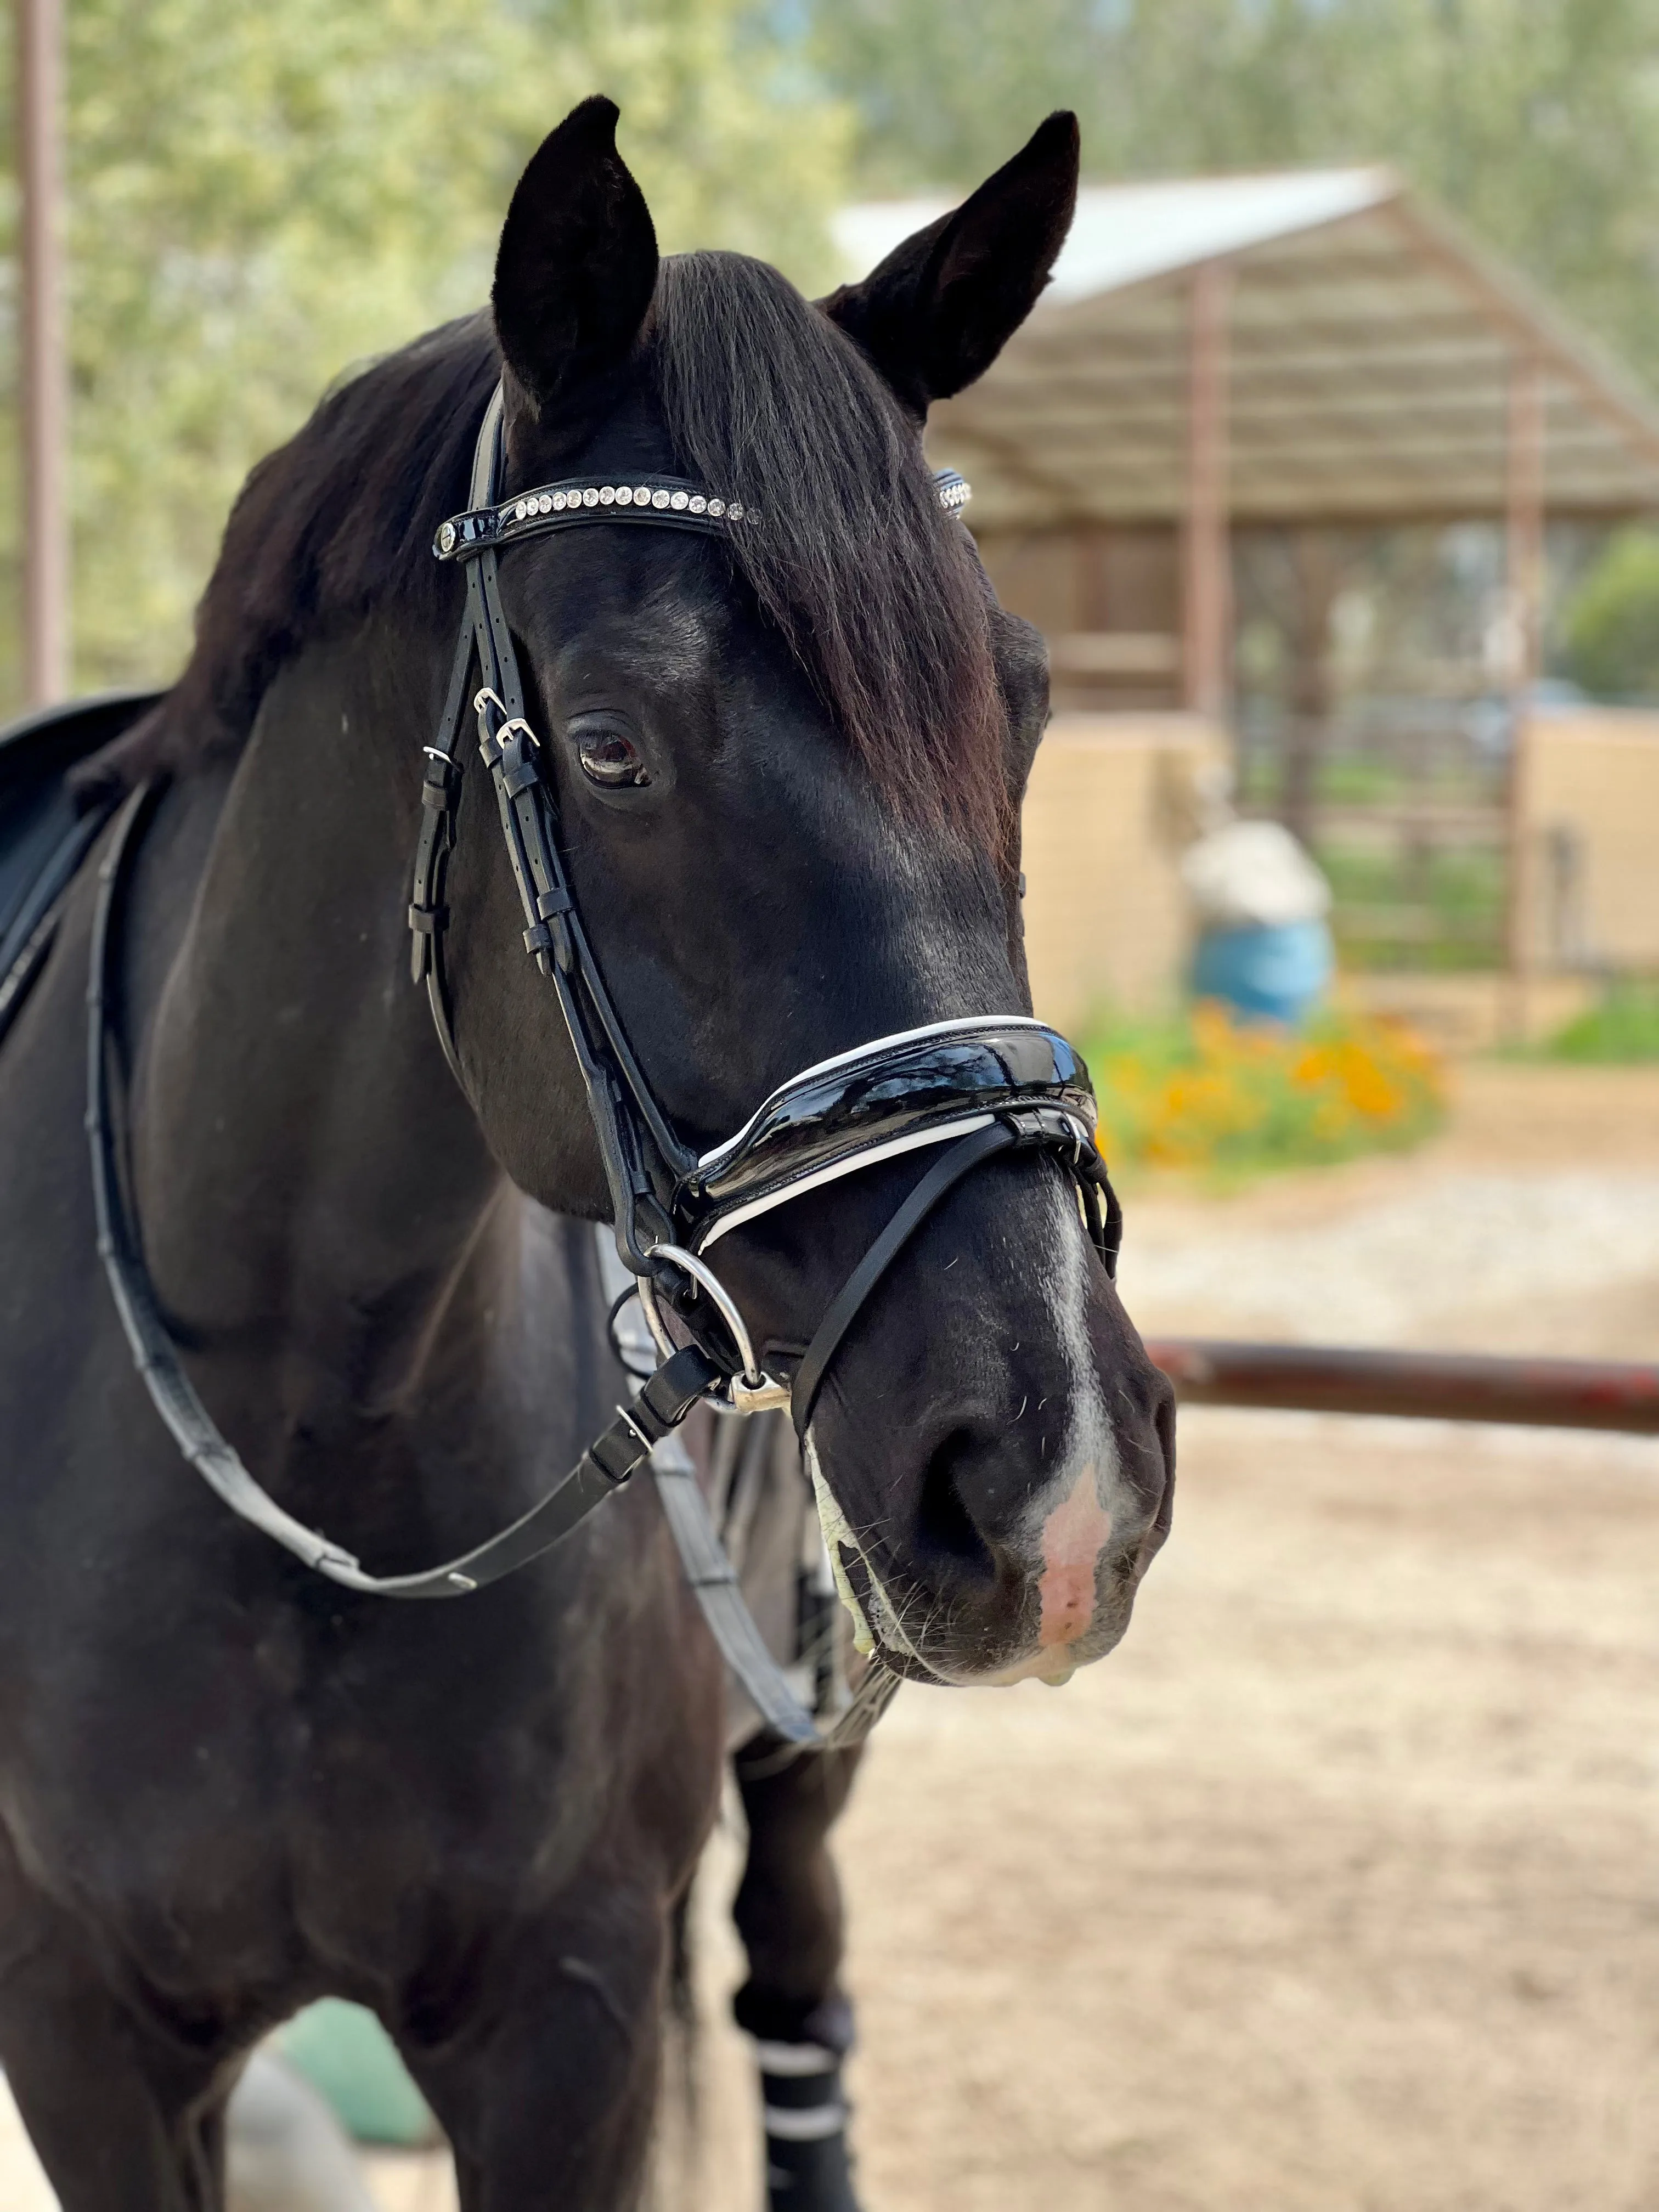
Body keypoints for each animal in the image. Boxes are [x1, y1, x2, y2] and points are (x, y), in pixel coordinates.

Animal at [0, 95, 1177, 2203]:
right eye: (616, 746)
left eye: (1023, 705)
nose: (1062, 1475)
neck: (306, 1426)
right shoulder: (83, 2038)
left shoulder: (573, 2025)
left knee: (799, 2009)